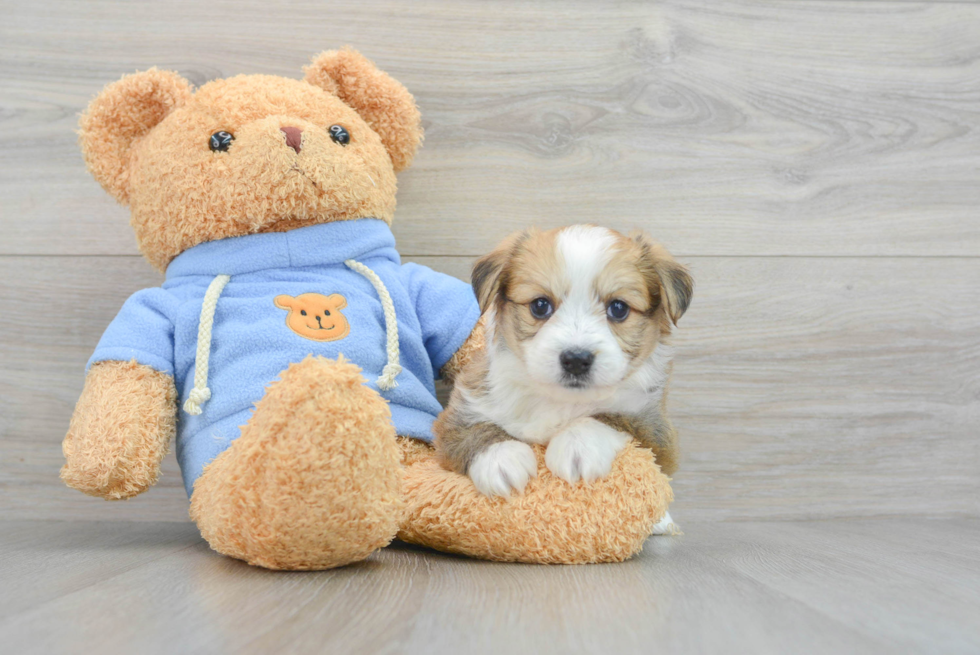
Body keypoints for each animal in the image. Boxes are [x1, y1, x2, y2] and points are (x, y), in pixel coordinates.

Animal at [432, 226, 692, 528]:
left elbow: (611, 416)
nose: (576, 360)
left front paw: (577, 445)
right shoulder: (461, 409)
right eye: (540, 305)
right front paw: (501, 459)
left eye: (618, 308)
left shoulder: (658, 434)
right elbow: (472, 430)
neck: (558, 399)